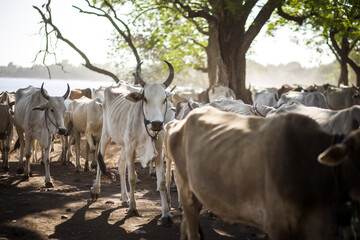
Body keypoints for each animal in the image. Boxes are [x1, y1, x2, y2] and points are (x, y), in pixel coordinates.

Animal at [90, 61, 174, 222]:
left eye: (164, 100)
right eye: (145, 99)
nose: (157, 124)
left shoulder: (158, 152)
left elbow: (161, 183)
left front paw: (166, 213)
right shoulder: (131, 149)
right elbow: (133, 178)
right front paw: (133, 208)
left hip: (124, 145)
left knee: (121, 166)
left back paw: (124, 197)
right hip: (106, 135)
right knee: (99, 160)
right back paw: (96, 190)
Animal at [169, 107, 360, 240]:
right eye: (354, 155)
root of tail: (181, 121)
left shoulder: (318, 228)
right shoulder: (278, 226)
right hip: (185, 189)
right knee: (192, 231)